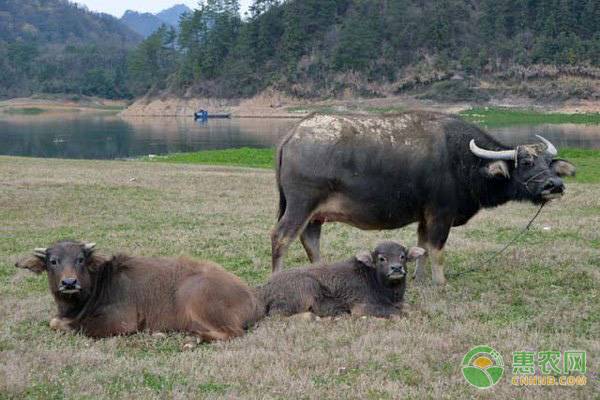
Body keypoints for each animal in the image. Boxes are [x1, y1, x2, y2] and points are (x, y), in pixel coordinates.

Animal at [15, 239, 262, 342]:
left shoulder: (122, 322)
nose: (69, 283)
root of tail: (253, 299)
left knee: (234, 332)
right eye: (53, 261)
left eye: (80, 259)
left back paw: (193, 338)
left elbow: (63, 324)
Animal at [260, 241, 424, 318]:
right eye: (381, 258)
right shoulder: (361, 307)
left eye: (402, 256)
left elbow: (409, 308)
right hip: (307, 287)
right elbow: (397, 313)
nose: (396, 268)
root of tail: (266, 287)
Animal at [272, 109, 576, 284]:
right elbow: (437, 249)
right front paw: (440, 284)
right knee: (281, 237)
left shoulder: (423, 216)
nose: (554, 185)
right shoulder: (441, 213)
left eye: (549, 163)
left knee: (310, 240)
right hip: (300, 206)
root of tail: (292, 134)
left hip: (314, 215)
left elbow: (422, 247)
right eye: (526, 162)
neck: (461, 160)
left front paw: (417, 278)